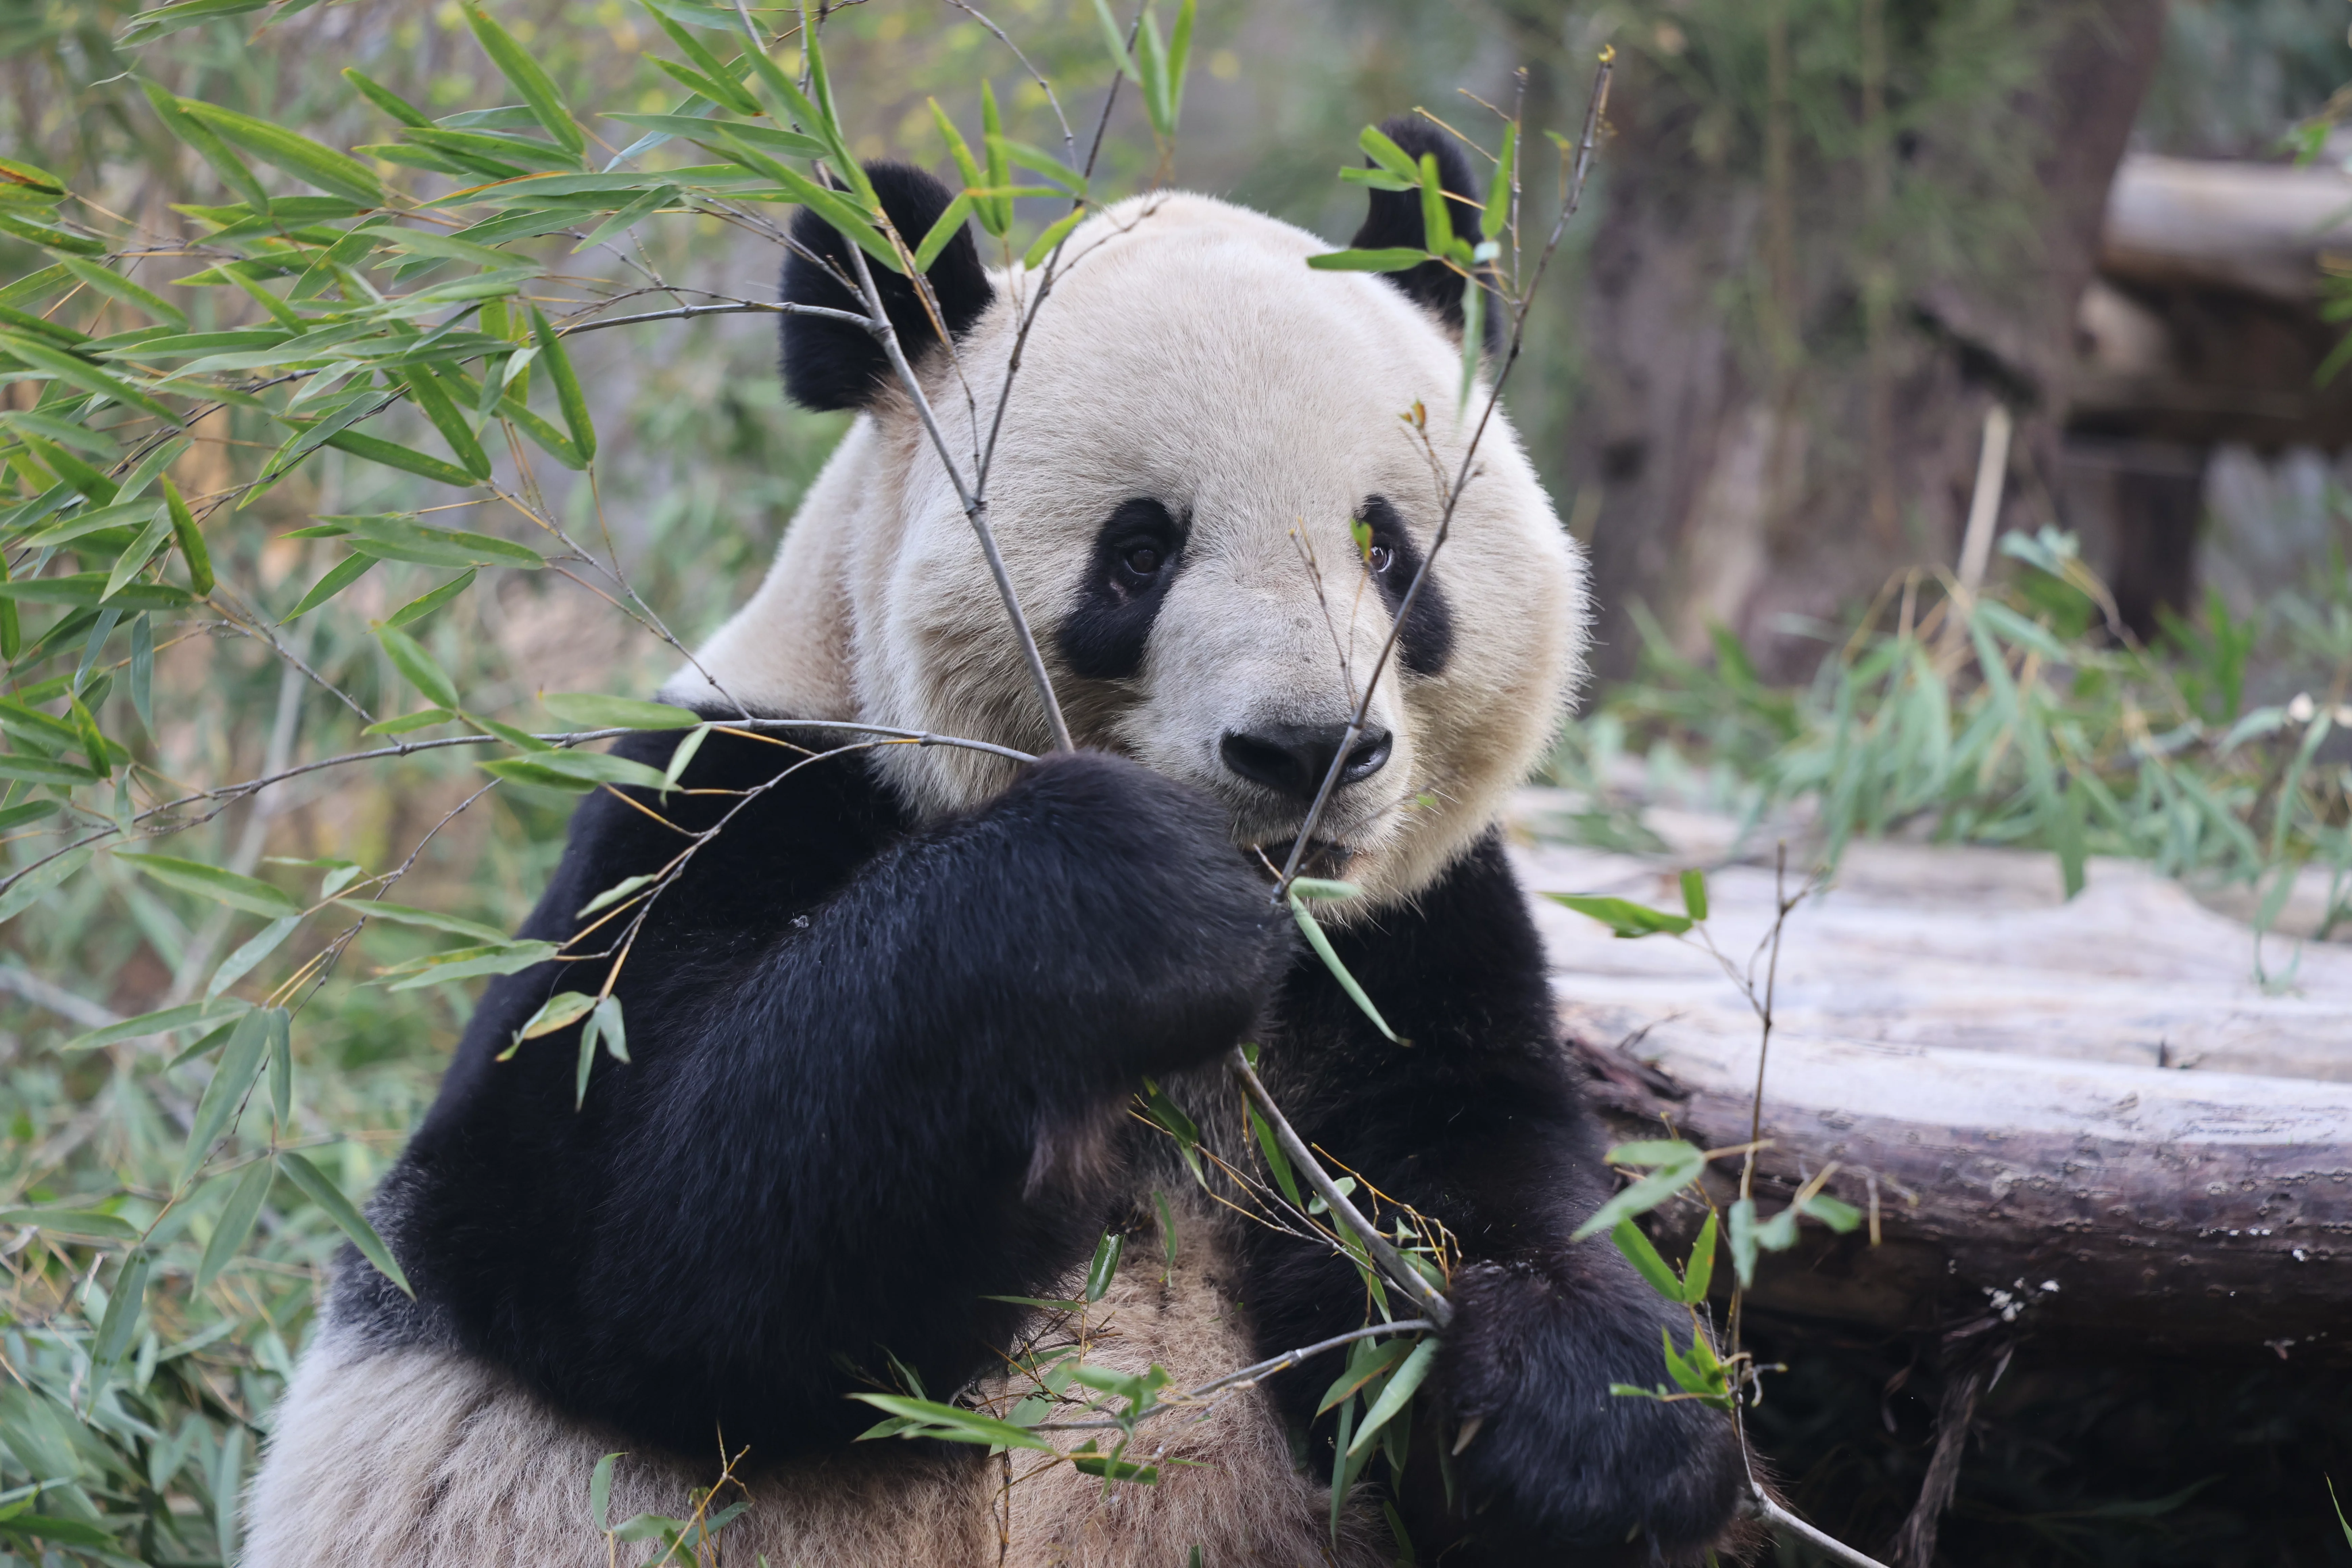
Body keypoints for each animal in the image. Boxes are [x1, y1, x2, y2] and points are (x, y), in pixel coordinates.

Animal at [244, 120, 1747, 1566]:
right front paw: (1136, 896)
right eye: (1139, 552)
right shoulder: (726, 803)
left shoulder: (1404, 934)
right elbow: (645, 1239)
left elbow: (1472, 1167)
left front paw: (1593, 1421)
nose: (1309, 751)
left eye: (1388, 549)